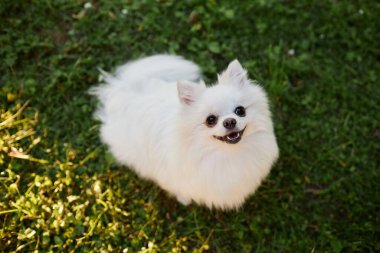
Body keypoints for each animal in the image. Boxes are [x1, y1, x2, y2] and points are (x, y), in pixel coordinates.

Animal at [90, 55, 278, 210]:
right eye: (210, 120)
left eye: (240, 111)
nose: (230, 121)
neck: (225, 154)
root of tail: (124, 91)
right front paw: (184, 199)